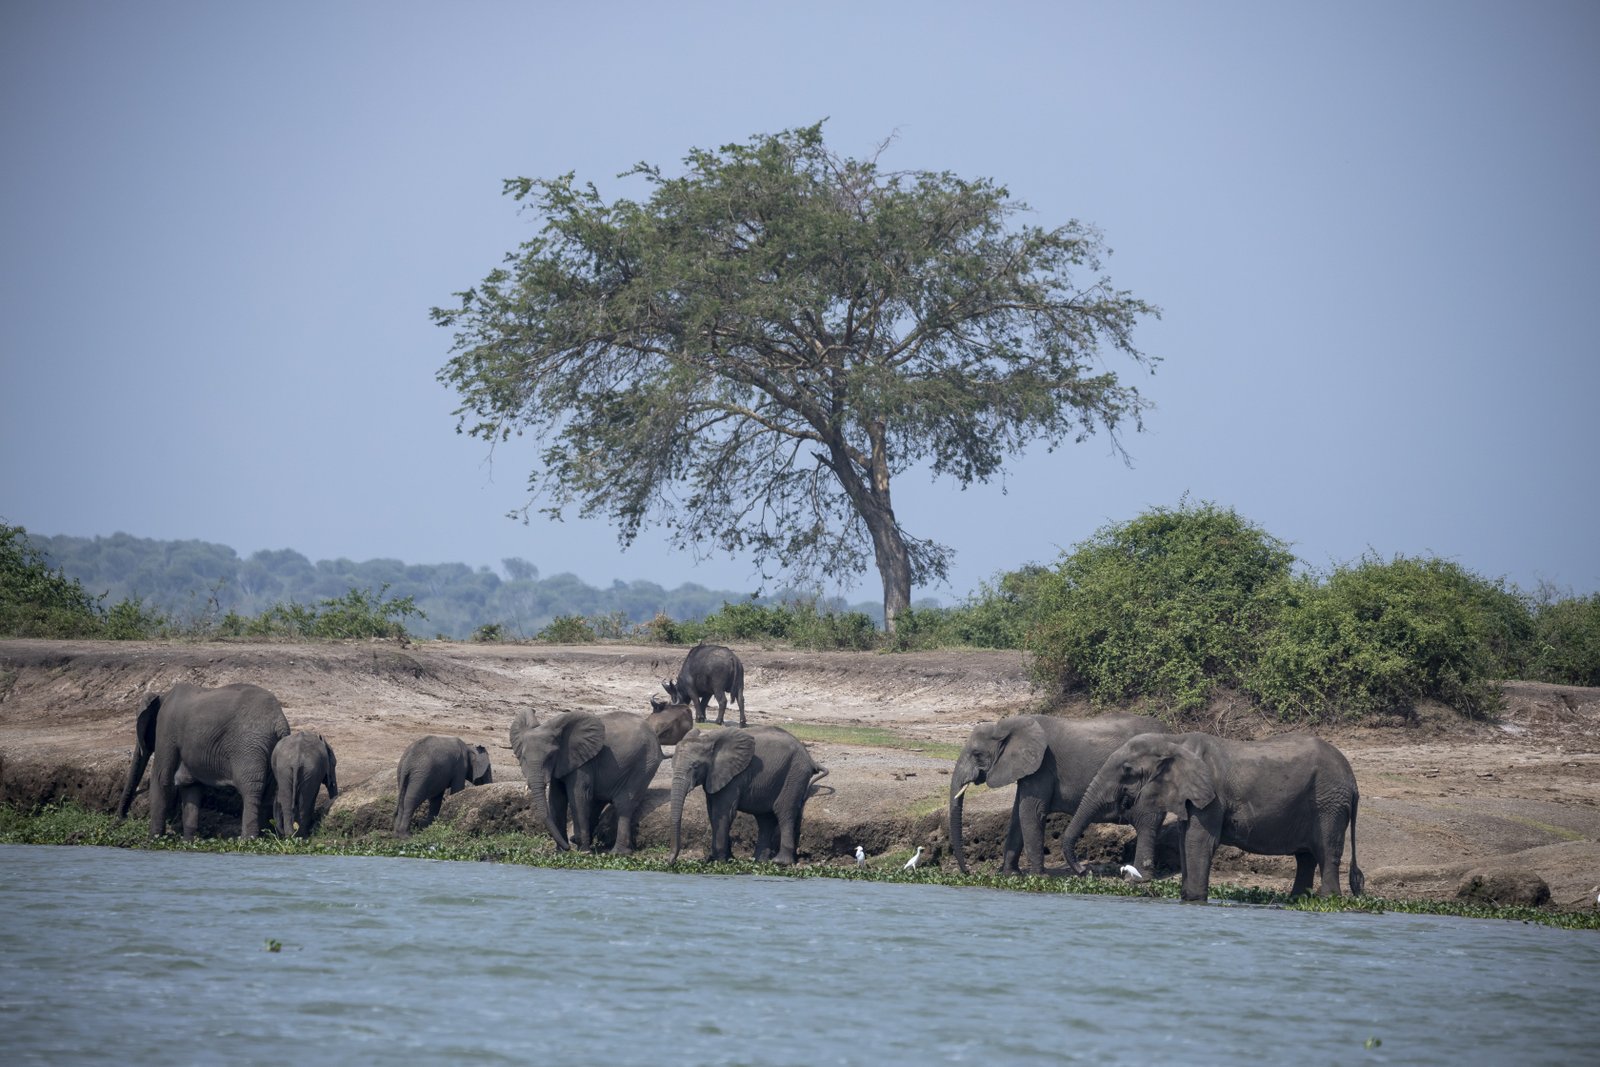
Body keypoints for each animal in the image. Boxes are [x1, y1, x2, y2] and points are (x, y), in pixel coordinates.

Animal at [117, 682, 291, 840]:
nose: (121, 819)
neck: (162, 695)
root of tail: (280, 723)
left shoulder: (166, 728)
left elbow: (161, 779)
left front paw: (153, 840)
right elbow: (191, 786)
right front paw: (188, 842)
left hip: (250, 747)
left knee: (251, 790)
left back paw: (248, 841)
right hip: (270, 750)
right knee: (266, 794)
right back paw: (262, 838)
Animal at [509, 708, 662, 854]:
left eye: (551, 756)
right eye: (523, 757)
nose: (567, 848)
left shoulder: (583, 763)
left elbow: (578, 795)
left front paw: (584, 852)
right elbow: (556, 798)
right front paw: (561, 853)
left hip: (645, 764)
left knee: (624, 804)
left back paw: (618, 853)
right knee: (598, 801)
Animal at [667, 726, 828, 865]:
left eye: (695, 766)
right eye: (672, 765)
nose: (670, 862)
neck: (708, 739)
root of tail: (811, 758)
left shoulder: (733, 776)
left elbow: (723, 812)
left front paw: (720, 861)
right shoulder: (714, 776)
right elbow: (712, 812)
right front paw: (721, 859)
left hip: (795, 773)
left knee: (784, 812)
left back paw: (780, 862)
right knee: (765, 819)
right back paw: (758, 861)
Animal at [949, 714, 1170, 876]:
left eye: (977, 754)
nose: (967, 873)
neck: (1007, 726)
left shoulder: (1043, 766)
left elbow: (1031, 812)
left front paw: (1039, 877)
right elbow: (1017, 816)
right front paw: (1011, 875)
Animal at [1060, 732, 1364, 902]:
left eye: (1127, 770)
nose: (1085, 872)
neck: (1174, 741)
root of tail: (1353, 780)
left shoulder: (1211, 794)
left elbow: (1198, 842)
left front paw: (1195, 899)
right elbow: (1185, 841)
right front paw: (1186, 898)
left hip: (1329, 803)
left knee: (1326, 852)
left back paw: (1328, 900)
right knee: (1306, 857)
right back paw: (1298, 901)